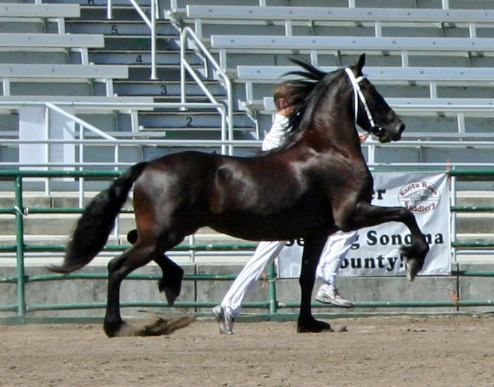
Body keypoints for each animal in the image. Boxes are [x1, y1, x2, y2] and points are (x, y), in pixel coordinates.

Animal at [50, 55, 428, 340]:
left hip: (164, 231)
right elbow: (406, 214)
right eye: (369, 89)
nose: (397, 127)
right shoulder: (350, 215)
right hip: (164, 233)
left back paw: (174, 283)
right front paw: (412, 261)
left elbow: (306, 277)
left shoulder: (317, 232)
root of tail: (146, 166)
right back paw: (119, 325)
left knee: (131, 241)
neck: (328, 149)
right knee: (116, 266)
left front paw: (308, 324)